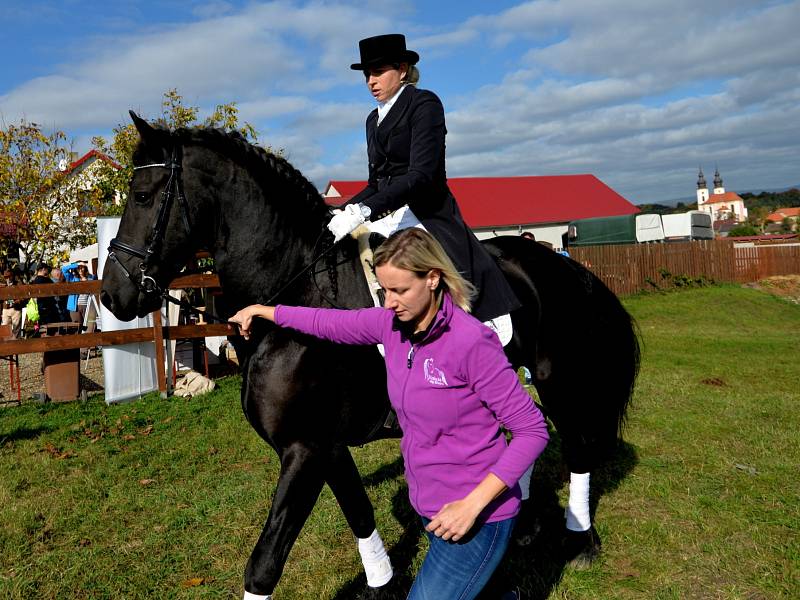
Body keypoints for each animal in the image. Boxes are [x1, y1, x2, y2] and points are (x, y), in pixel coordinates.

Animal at [101, 113, 636, 600]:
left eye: (143, 196)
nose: (112, 295)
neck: (295, 296)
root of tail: (562, 264)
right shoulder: (328, 447)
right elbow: (359, 514)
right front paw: (382, 585)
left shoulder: (304, 450)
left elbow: (264, 564)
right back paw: (522, 523)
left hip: (558, 380)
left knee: (576, 449)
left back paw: (581, 541)